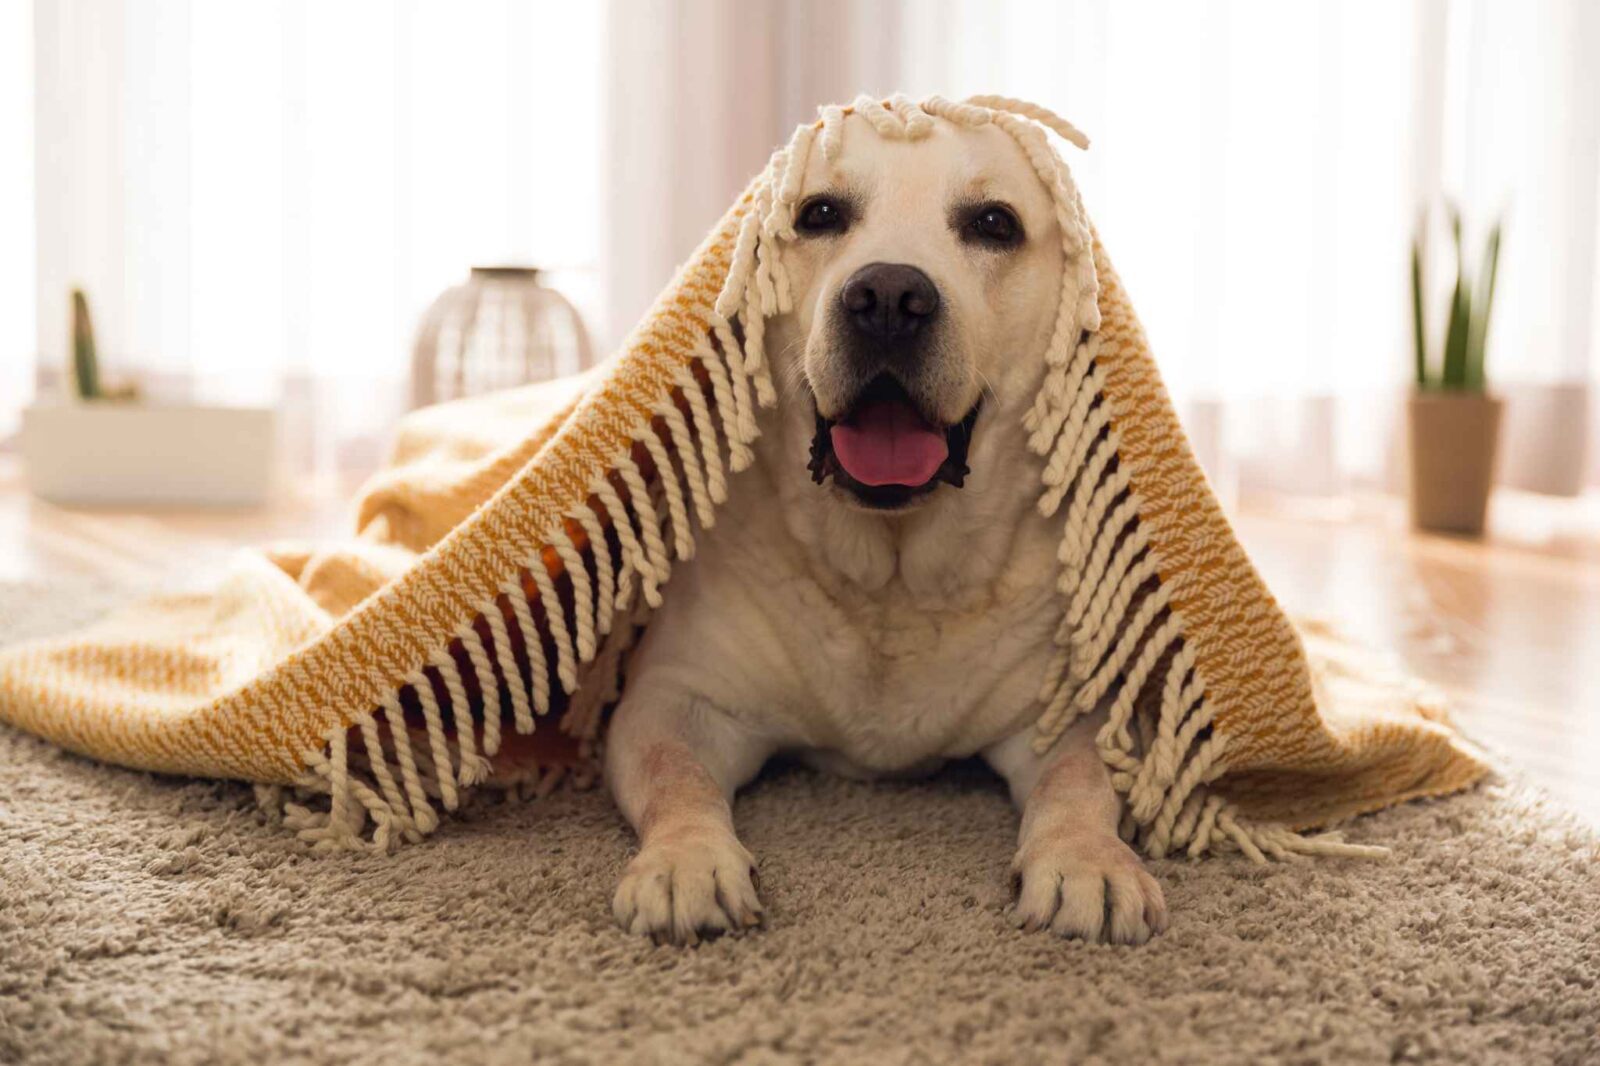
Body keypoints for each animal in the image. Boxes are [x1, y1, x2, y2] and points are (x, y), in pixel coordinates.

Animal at [601, 112, 1164, 941]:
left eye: (994, 224)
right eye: (819, 214)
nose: (890, 297)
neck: (891, 581)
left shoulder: (1073, 711)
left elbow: (1080, 780)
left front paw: (1088, 861)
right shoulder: (675, 699)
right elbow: (676, 777)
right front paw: (687, 862)